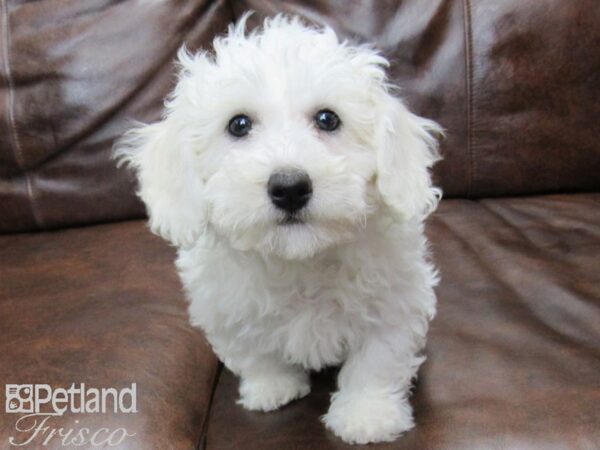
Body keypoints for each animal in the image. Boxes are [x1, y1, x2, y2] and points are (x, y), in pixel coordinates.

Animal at [116, 13, 440, 442]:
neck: (298, 258)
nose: (289, 188)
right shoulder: (224, 309)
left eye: (328, 119)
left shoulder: (395, 303)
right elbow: (254, 354)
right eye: (238, 125)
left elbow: (377, 360)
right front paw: (272, 388)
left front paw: (367, 415)